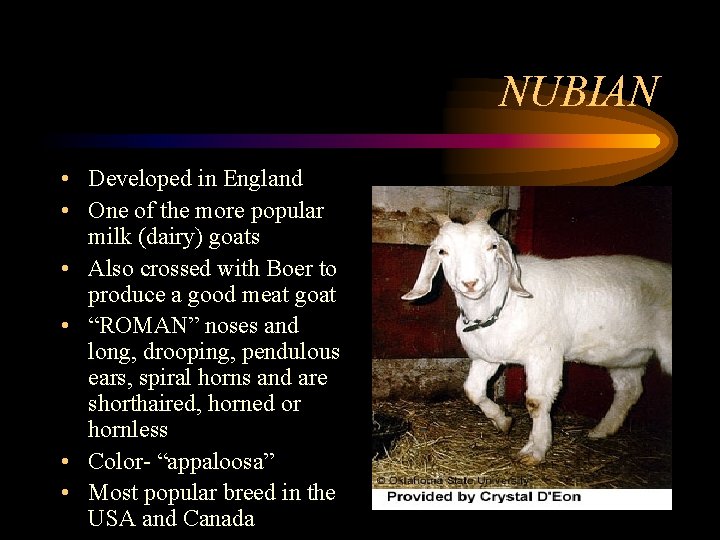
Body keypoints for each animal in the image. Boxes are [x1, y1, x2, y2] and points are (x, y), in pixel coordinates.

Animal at [401, 208, 672, 465]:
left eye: (492, 246)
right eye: (443, 252)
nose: (470, 283)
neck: (503, 303)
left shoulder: (545, 355)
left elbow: (536, 401)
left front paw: (535, 450)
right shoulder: (488, 357)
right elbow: (473, 390)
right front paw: (503, 421)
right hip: (625, 357)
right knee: (629, 389)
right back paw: (601, 430)